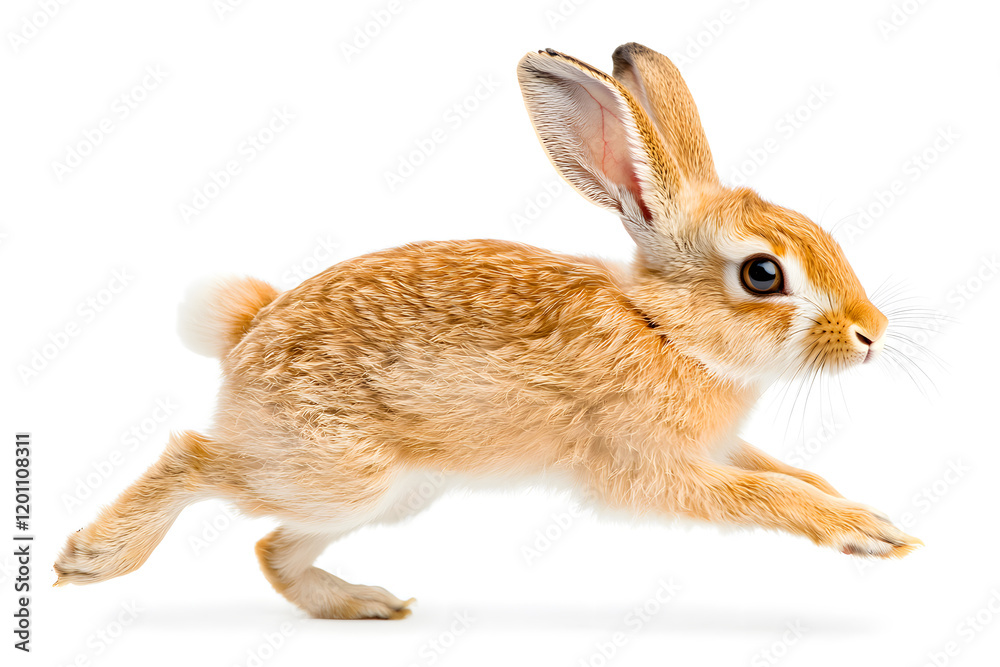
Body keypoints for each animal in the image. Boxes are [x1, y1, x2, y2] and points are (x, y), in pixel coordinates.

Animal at [54, 43, 921, 620]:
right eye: (763, 275)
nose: (871, 332)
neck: (665, 329)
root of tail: (245, 333)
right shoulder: (646, 464)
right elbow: (763, 493)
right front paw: (864, 532)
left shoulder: (718, 445)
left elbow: (788, 473)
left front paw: (879, 521)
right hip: (336, 470)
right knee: (195, 459)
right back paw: (90, 560)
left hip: (391, 494)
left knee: (271, 547)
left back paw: (365, 604)